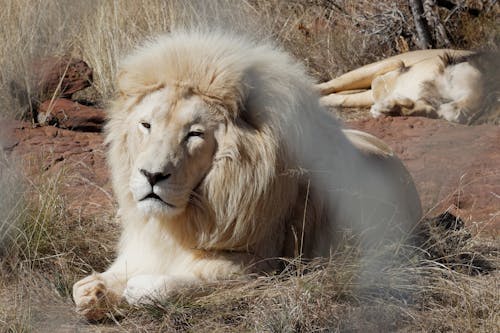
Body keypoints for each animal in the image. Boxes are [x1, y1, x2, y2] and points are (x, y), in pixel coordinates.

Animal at [71, 30, 422, 320]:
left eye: (194, 134)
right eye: (146, 125)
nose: (152, 175)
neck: (183, 219)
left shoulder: (263, 267)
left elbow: (171, 284)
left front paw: (134, 289)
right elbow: (82, 287)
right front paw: (97, 290)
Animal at [318, 50, 498, 125]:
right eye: (451, 79)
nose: (434, 98)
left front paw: (389, 110)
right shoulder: (392, 69)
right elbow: (332, 85)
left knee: (341, 97)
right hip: (392, 62)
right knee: (333, 85)